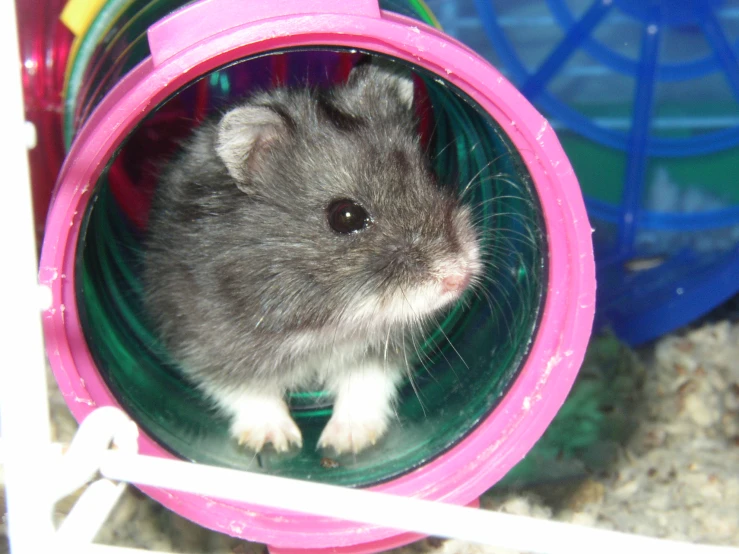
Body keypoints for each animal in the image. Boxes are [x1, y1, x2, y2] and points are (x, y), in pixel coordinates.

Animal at [142, 62, 482, 454]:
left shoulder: (383, 348)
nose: (460, 276)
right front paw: (277, 443)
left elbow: (365, 384)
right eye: (346, 216)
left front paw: (345, 444)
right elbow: (247, 391)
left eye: (430, 175)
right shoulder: (206, 341)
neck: (329, 323)